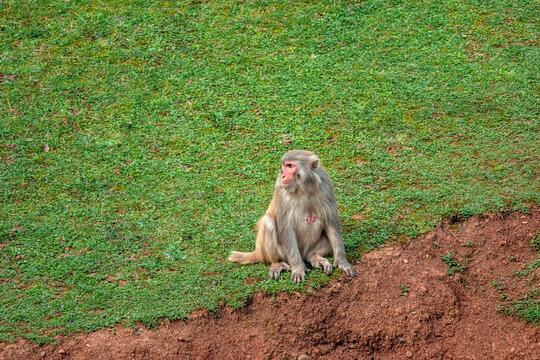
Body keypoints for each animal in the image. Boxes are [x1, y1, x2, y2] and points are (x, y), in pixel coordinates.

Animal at [230, 150, 356, 284]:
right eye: (284, 165)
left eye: (290, 166)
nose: (283, 176)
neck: (303, 187)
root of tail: (259, 253)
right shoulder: (282, 190)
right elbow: (286, 229)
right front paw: (298, 268)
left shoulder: (326, 185)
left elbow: (331, 223)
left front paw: (342, 261)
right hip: (283, 253)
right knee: (268, 222)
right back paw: (277, 263)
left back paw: (313, 257)